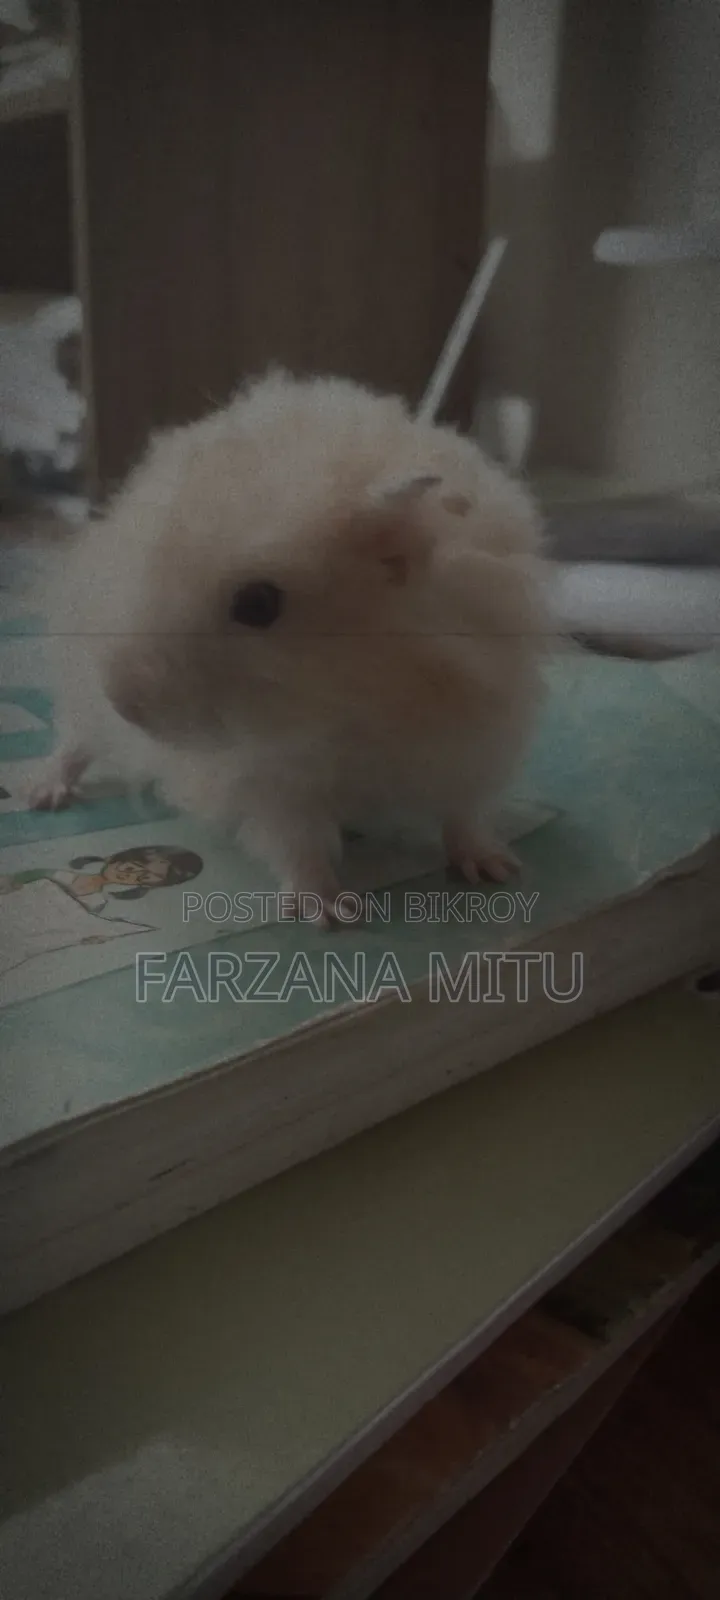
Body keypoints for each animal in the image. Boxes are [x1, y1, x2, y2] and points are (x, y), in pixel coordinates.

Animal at [34, 370, 552, 922]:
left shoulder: (474, 746)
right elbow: (297, 844)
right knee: (72, 744)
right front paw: (330, 912)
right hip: (83, 698)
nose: (126, 705)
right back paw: (41, 794)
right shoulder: (269, 785)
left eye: (259, 604)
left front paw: (499, 871)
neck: (355, 705)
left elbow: (464, 816)